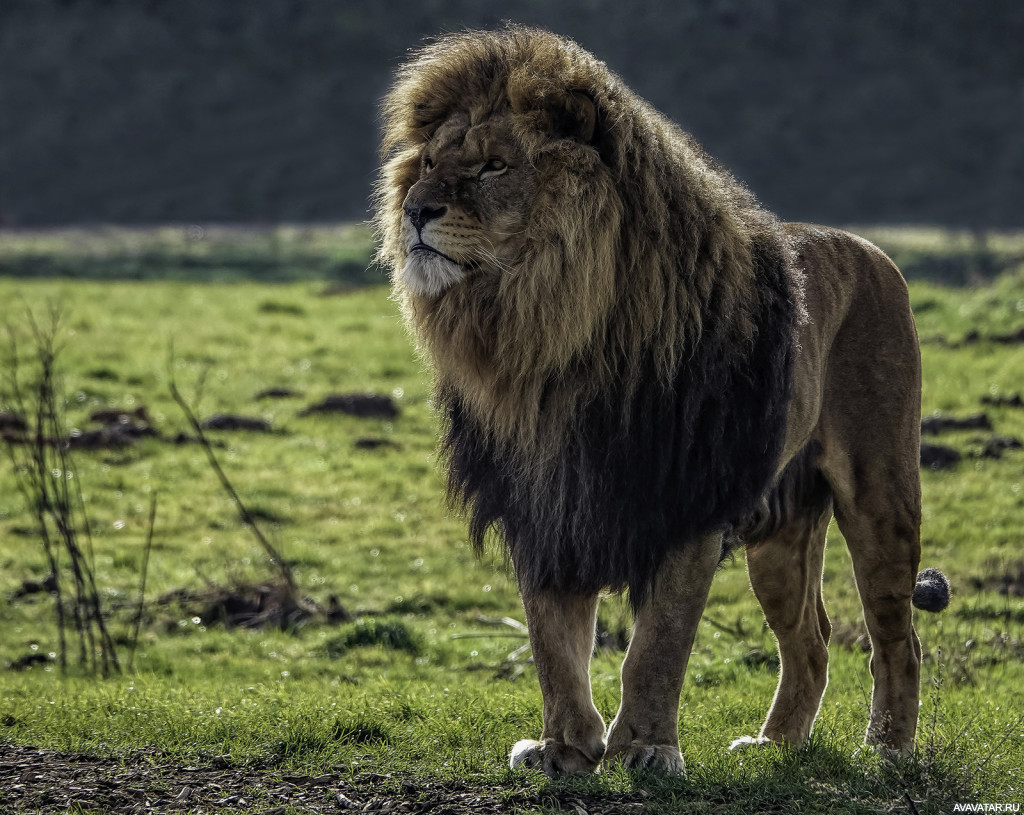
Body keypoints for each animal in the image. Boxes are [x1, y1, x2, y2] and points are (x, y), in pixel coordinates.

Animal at [374, 25, 950, 778]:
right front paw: (563, 747)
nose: (415, 208)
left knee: (896, 636)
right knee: (812, 638)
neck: (552, 341)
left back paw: (887, 747)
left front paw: (645, 747)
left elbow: (658, 644)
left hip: (881, 494)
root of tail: (874, 251)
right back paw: (776, 742)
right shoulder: (545, 501)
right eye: (428, 163)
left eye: (495, 165)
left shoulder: (685, 500)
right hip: (781, 535)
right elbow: (552, 643)